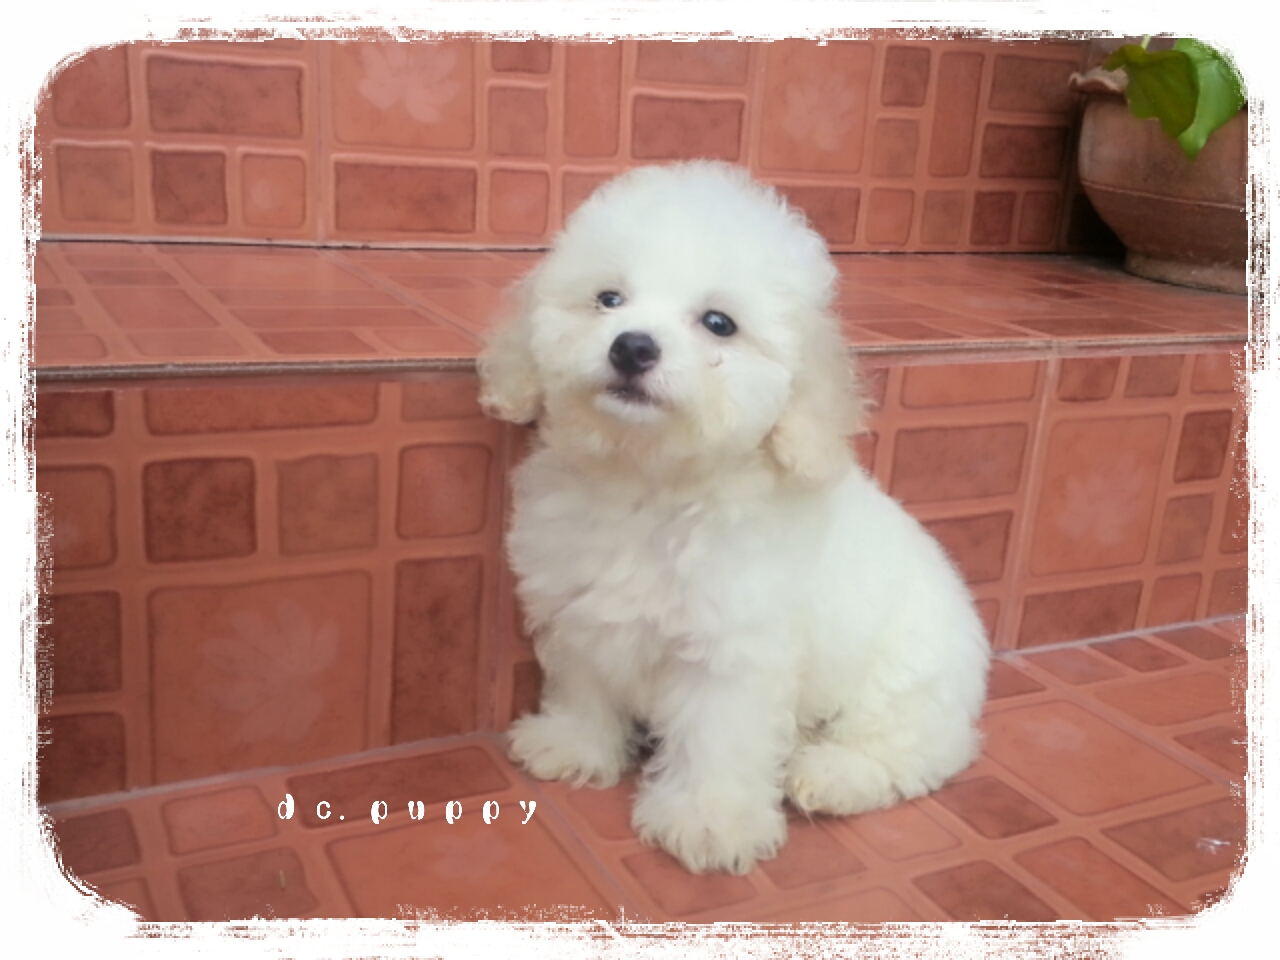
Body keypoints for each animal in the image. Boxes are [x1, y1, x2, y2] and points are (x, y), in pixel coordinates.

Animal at [478, 162, 990, 875]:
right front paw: (575, 744)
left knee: (910, 753)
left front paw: (709, 821)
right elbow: (585, 681)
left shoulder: (734, 651)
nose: (632, 347)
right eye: (608, 299)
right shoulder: (578, 608)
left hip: (905, 680)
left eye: (719, 323)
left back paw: (828, 776)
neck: (650, 484)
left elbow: (717, 737)